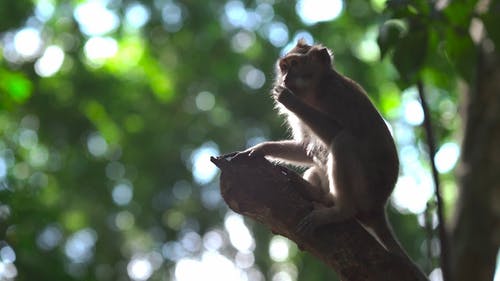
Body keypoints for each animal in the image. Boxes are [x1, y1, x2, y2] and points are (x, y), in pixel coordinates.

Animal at [225, 39, 408, 258]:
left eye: (295, 64)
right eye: (284, 67)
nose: (285, 78)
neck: (314, 92)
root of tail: (379, 206)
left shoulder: (336, 94)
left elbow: (338, 132)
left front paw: (290, 100)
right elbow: (305, 148)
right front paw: (260, 149)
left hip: (367, 190)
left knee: (343, 141)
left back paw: (340, 211)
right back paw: (316, 193)